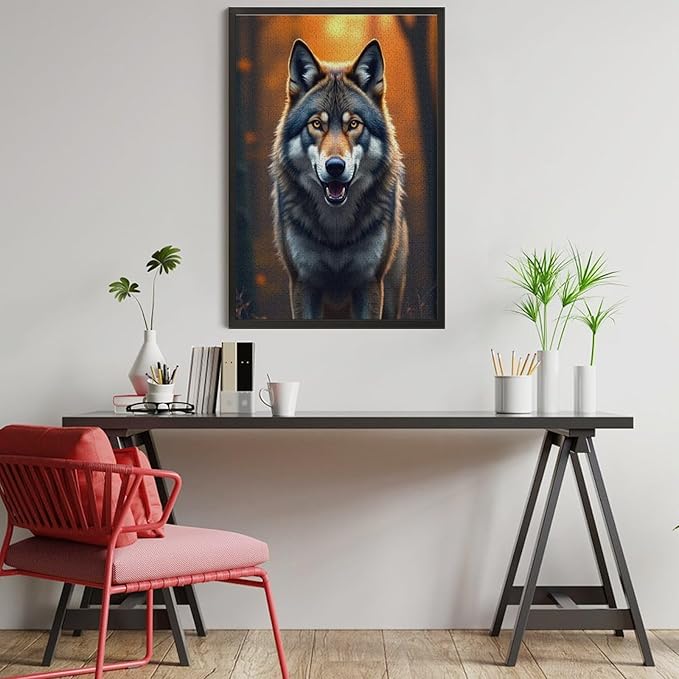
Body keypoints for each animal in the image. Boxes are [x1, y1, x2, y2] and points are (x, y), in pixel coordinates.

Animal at [270, 39, 408, 320]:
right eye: (317, 124)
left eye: (353, 124)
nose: (335, 167)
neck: (336, 230)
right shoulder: (303, 283)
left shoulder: (370, 283)